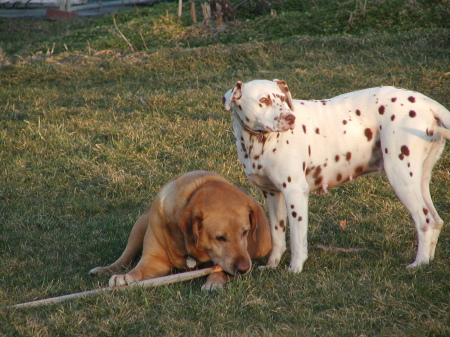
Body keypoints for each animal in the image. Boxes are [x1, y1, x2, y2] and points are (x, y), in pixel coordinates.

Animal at [88, 171, 270, 288]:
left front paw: (213, 281)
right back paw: (107, 269)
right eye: (220, 238)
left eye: (245, 232)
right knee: (124, 258)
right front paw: (126, 277)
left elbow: (219, 269)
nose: (244, 268)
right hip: (139, 226)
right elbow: (137, 270)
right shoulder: (153, 261)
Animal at [222, 79, 450, 272]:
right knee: (436, 221)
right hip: (419, 182)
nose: (290, 118)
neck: (257, 142)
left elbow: (296, 240)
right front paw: (272, 265)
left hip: (401, 178)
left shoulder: (295, 194)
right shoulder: (272, 195)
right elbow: (277, 237)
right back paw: (427, 261)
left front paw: (295, 269)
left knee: (425, 221)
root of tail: (427, 103)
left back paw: (419, 263)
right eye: (263, 101)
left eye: (282, 99)